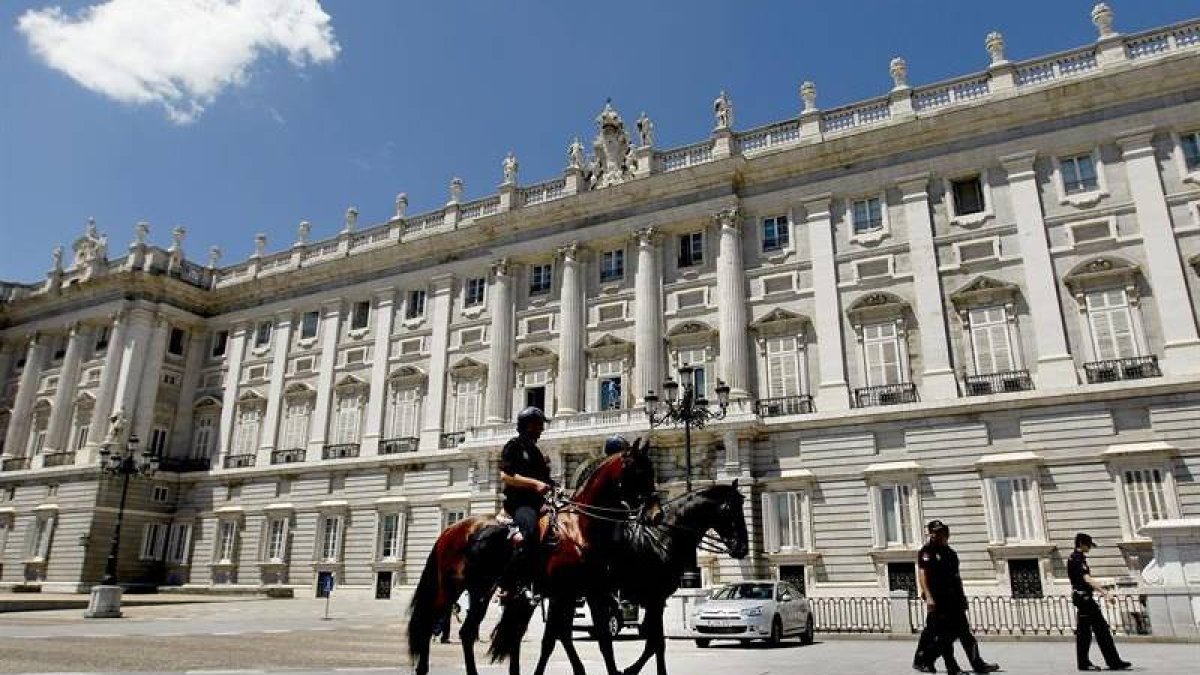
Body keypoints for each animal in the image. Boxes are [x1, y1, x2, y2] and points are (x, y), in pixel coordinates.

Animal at [405, 437, 657, 672]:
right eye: (638, 473)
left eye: (652, 472)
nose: (657, 514)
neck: (578, 527)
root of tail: (450, 530)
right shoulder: (561, 593)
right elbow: (555, 638)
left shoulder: (589, 591)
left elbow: (600, 639)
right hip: (451, 588)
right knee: (429, 623)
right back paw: (422, 668)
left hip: (481, 590)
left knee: (467, 632)